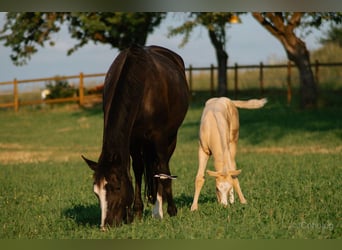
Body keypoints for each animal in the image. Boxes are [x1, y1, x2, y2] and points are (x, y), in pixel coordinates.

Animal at [82, 45, 190, 229]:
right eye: (96, 192)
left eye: (116, 187)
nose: (106, 225)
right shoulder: (132, 139)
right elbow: (138, 170)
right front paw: (137, 212)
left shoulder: (159, 137)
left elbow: (163, 171)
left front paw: (171, 211)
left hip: (171, 137)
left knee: (161, 166)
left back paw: (159, 210)